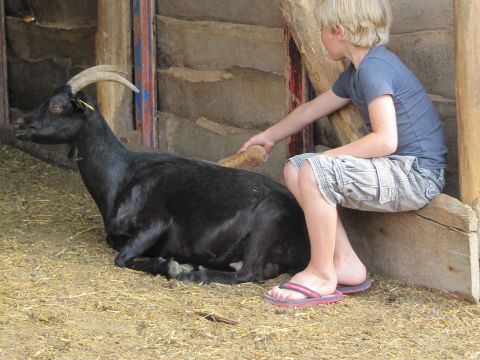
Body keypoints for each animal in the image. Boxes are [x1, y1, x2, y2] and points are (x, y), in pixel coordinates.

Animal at [15, 65, 310, 284]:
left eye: (56, 105)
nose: (19, 124)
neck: (120, 177)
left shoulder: (154, 223)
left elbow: (122, 259)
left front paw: (171, 266)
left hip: (268, 219)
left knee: (249, 272)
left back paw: (192, 274)